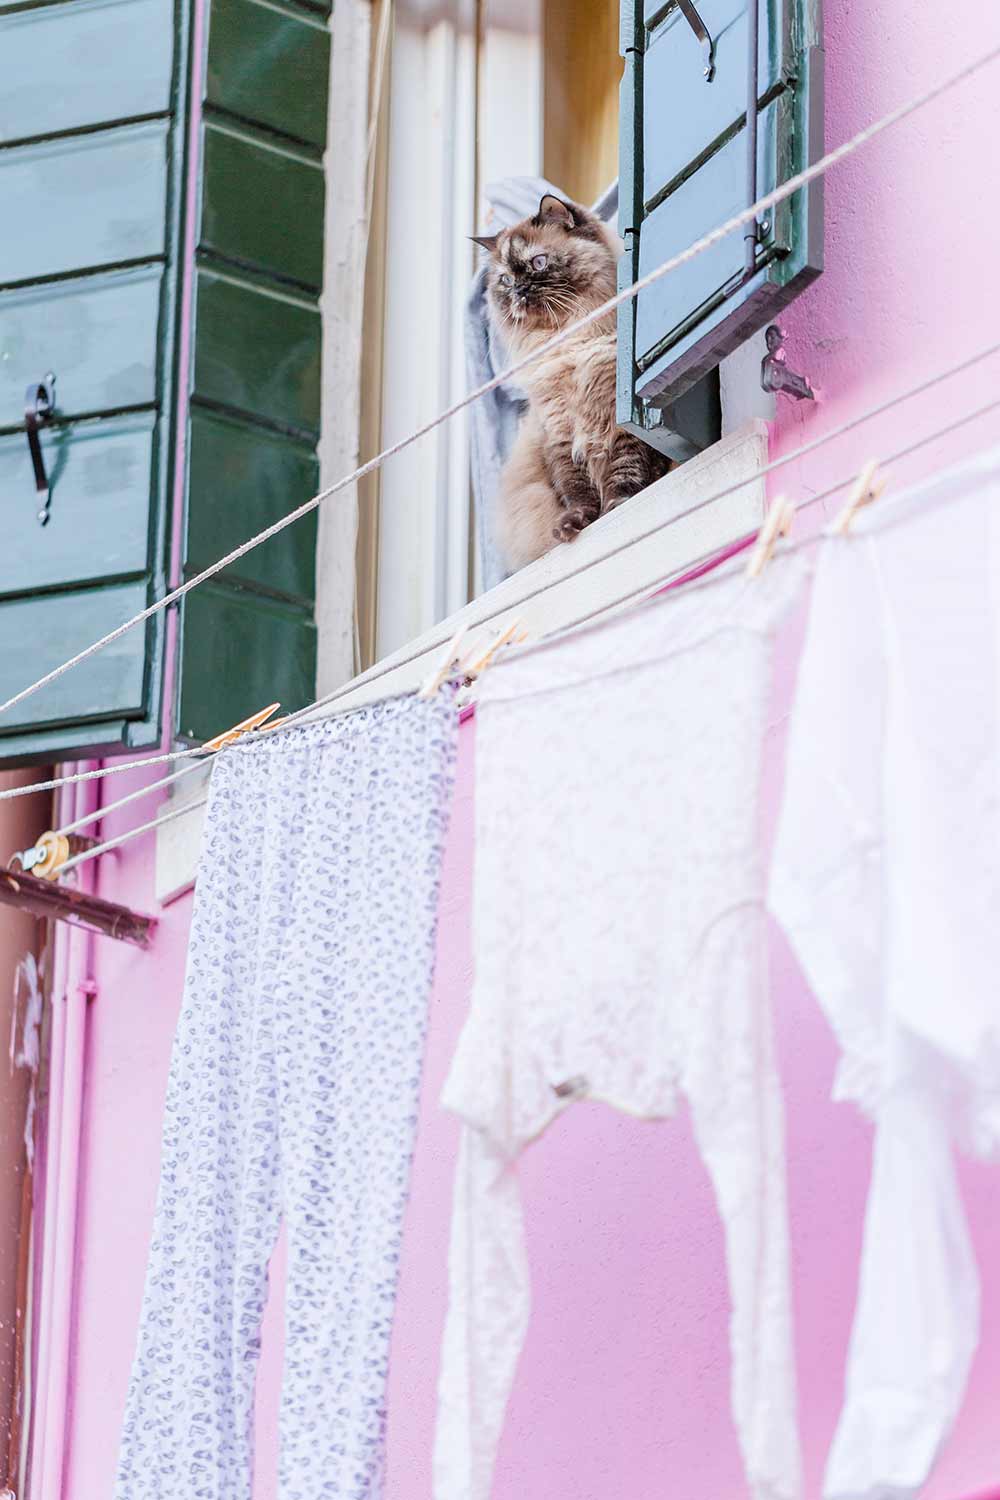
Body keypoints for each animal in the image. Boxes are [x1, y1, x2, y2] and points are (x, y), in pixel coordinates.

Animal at [473, 196, 668, 570]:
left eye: (538, 263)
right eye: (505, 279)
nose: (519, 289)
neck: (568, 339)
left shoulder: (619, 426)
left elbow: (625, 473)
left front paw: (616, 508)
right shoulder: (559, 431)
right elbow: (576, 490)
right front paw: (575, 524)